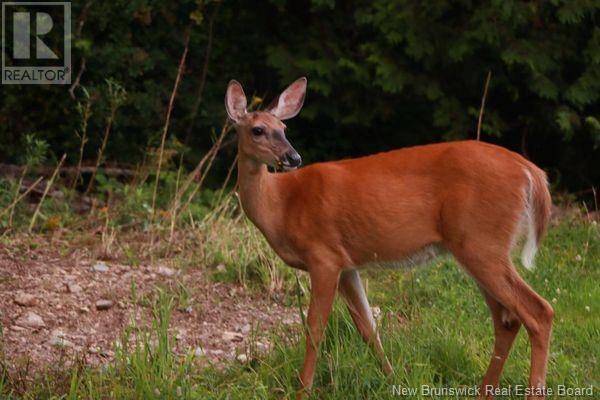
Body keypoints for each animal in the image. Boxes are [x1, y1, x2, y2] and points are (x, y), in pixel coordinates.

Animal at [224, 76, 552, 398]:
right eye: (258, 130)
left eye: (284, 129)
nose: (293, 157)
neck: (281, 205)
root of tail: (531, 171)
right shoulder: (346, 265)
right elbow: (368, 328)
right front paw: (392, 379)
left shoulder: (323, 256)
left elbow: (315, 329)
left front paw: (302, 391)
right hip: (478, 246)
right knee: (506, 319)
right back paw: (485, 391)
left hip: (481, 241)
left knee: (538, 311)